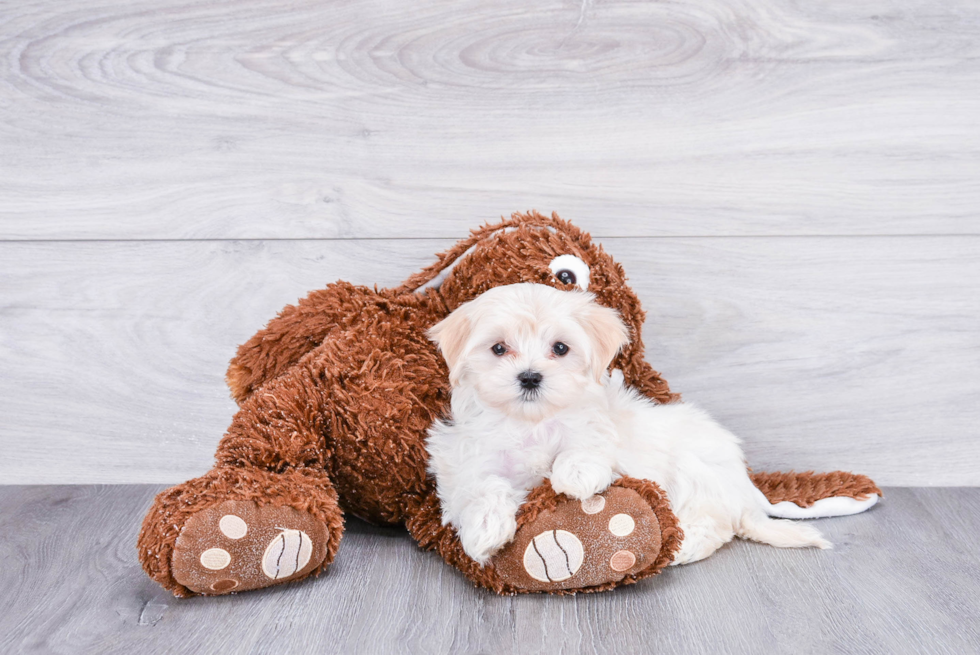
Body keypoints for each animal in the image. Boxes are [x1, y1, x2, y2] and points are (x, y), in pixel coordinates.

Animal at [424, 284, 832, 568]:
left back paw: (680, 547)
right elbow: (480, 487)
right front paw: (485, 529)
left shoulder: (601, 428)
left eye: (560, 348)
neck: (532, 423)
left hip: (696, 470)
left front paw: (574, 473)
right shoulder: (466, 459)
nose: (529, 377)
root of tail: (744, 492)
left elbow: (585, 442)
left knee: (714, 525)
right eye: (498, 348)